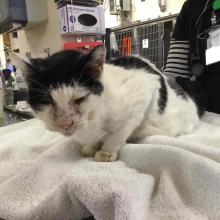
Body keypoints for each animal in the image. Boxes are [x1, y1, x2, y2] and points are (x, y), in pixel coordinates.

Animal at [22, 45, 203, 162]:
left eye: (79, 99)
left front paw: (106, 151)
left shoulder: (144, 89)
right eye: (48, 101)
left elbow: (119, 133)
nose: (64, 123)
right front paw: (92, 147)